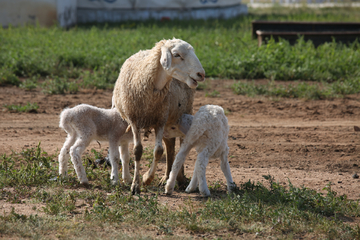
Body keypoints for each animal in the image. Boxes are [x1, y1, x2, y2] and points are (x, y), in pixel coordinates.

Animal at [112, 38, 205, 195]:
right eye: (176, 54)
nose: (201, 74)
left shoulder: (160, 120)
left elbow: (158, 151)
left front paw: (146, 179)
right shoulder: (134, 120)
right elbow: (138, 151)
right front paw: (135, 185)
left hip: (182, 112)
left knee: (181, 143)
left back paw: (180, 179)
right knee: (170, 144)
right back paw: (167, 177)